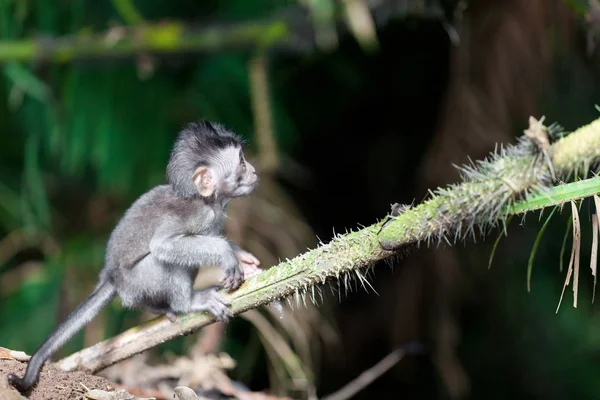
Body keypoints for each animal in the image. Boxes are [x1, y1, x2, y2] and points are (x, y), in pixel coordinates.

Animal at [7, 119, 260, 394]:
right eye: (242, 162)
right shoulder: (198, 214)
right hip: (138, 280)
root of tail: (110, 277)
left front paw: (244, 257)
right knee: (166, 261)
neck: (206, 200)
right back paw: (187, 303)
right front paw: (227, 254)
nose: (254, 170)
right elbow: (164, 246)